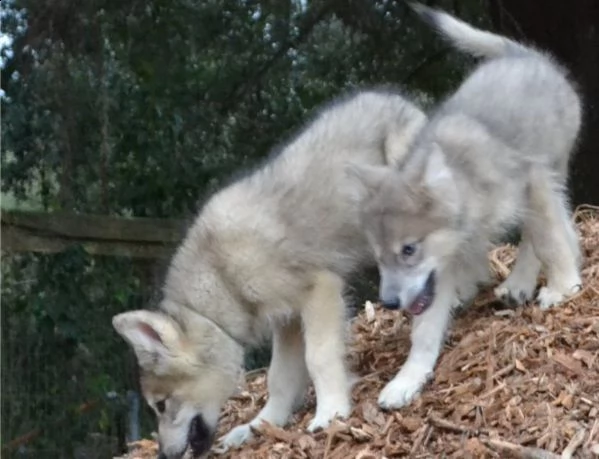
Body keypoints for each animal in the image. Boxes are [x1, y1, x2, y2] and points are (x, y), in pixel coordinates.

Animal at [111, 88, 426, 458]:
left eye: (160, 405)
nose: (163, 454)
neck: (222, 280)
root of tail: (393, 98)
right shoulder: (287, 320)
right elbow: (280, 379)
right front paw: (259, 426)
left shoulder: (320, 291)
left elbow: (319, 358)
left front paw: (331, 412)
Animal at [350, 3, 584, 412]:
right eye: (379, 258)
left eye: (408, 250)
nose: (390, 303)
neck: (466, 186)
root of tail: (524, 54)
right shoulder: (437, 270)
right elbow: (425, 334)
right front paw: (406, 381)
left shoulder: (533, 184)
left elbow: (548, 241)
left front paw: (564, 285)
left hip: (553, 166)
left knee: (543, 232)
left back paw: (525, 281)